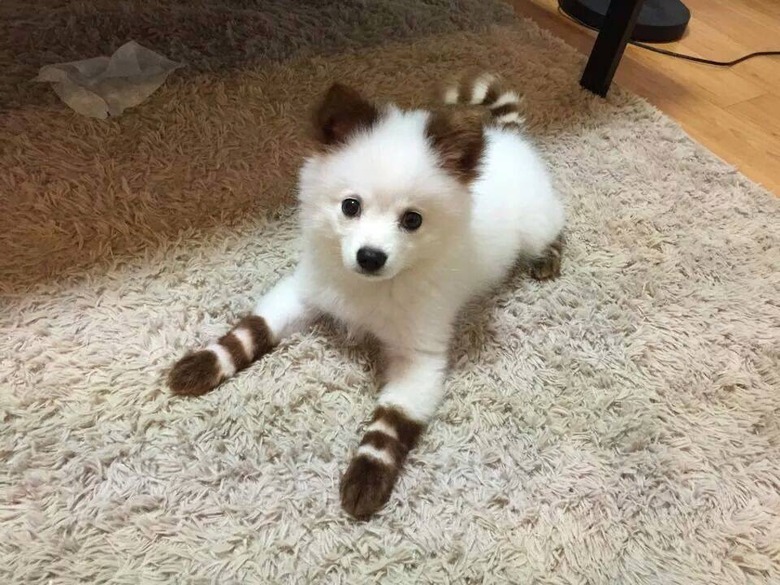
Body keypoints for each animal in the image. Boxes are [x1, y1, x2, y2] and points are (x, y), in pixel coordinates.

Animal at [168, 72, 564, 516]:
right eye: (350, 206)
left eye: (412, 220)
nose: (370, 256)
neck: (370, 289)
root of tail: (509, 139)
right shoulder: (305, 290)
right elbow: (252, 329)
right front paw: (205, 363)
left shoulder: (419, 354)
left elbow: (392, 419)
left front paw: (368, 474)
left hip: (535, 223)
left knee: (554, 229)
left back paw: (548, 258)